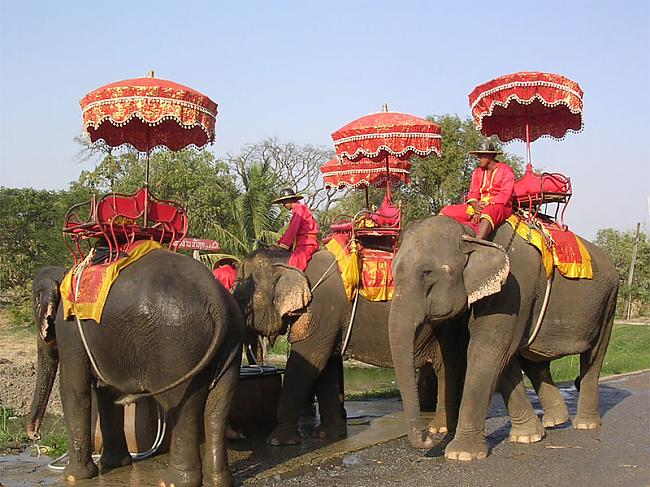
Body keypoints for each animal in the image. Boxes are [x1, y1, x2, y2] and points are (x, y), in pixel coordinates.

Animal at [24, 250, 243, 487]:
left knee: (183, 406)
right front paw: (114, 464)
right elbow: (107, 392)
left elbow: (74, 389)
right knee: (218, 406)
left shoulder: (69, 327)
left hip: (176, 346)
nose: (34, 435)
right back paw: (218, 481)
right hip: (230, 342)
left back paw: (171, 481)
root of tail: (216, 300)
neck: (63, 273)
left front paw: (72, 477)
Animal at [230, 250, 464, 448]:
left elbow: (308, 363)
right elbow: (327, 367)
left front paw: (278, 442)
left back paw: (440, 427)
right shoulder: (330, 321)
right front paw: (328, 435)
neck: (288, 258)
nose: (240, 435)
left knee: (447, 367)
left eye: (241, 299)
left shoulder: (321, 310)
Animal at [388, 217, 616, 462]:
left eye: (427, 272)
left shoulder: (512, 290)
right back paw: (556, 421)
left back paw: (585, 424)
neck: (470, 234)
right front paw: (527, 437)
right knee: (533, 360)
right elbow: (499, 359)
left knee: (593, 357)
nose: (428, 438)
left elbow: (488, 351)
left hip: (608, 303)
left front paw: (462, 454)